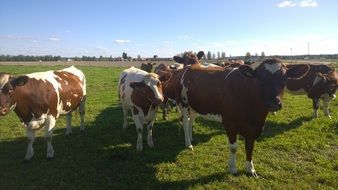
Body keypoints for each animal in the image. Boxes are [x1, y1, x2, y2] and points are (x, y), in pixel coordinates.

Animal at [173, 51, 308, 177]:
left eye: (284, 79)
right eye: (260, 80)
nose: (273, 103)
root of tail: (190, 65)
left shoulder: (255, 127)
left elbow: (250, 147)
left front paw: (250, 169)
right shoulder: (229, 123)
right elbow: (233, 148)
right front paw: (233, 168)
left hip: (195, 105)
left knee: (191, 120)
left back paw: (191, 138)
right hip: (183, 103)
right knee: (185, 122)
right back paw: (188, 144)